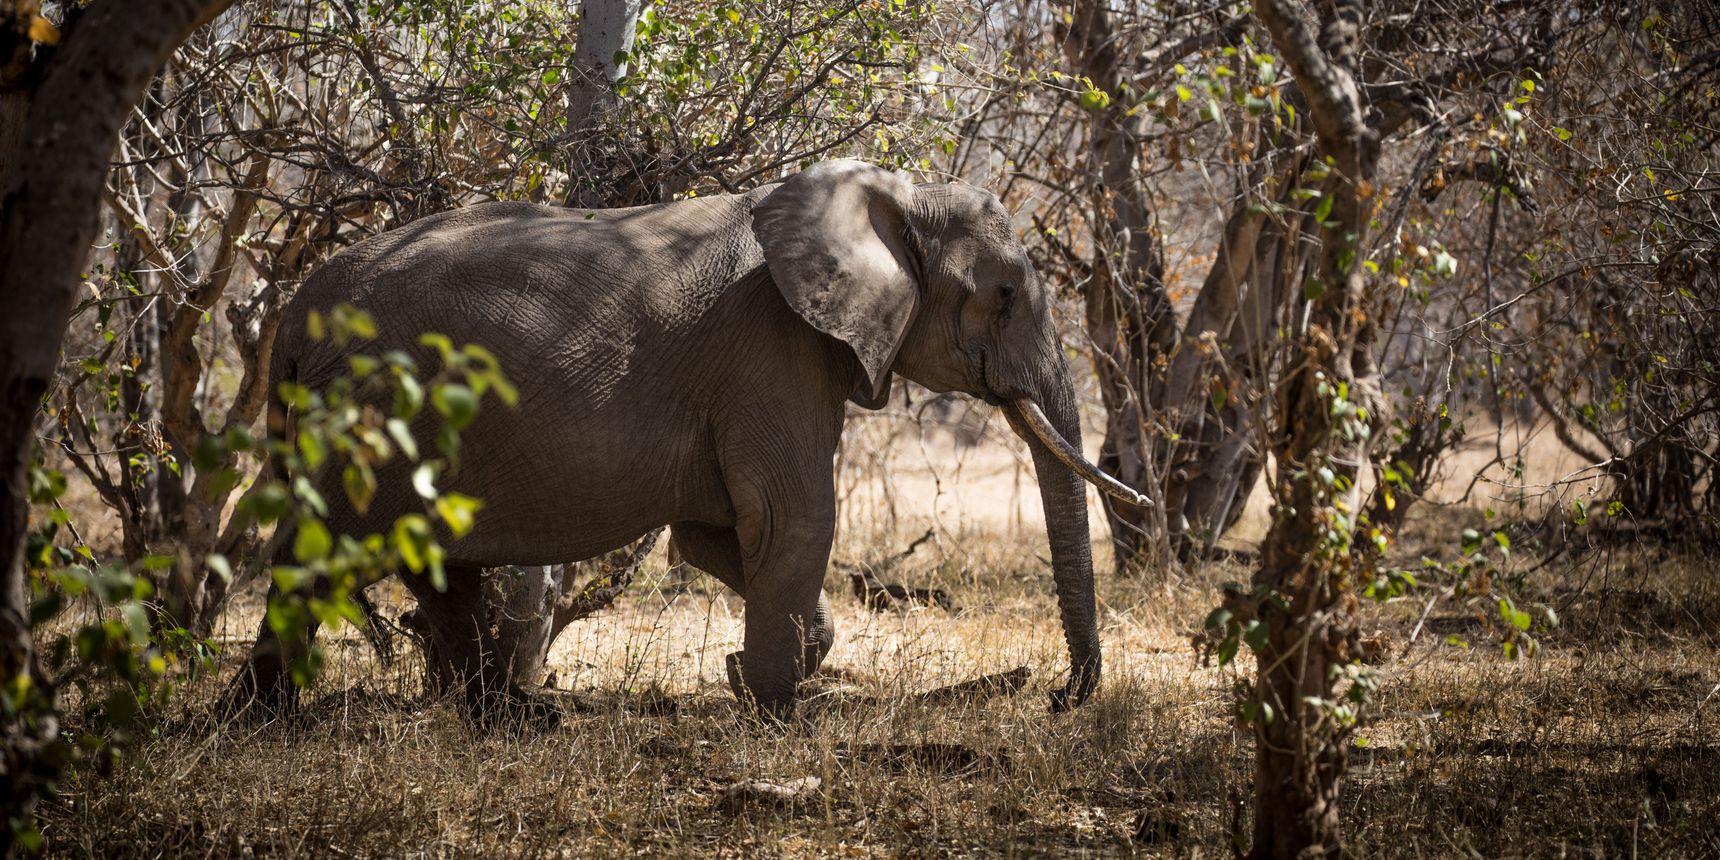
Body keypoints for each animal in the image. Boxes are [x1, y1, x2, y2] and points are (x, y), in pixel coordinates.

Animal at [222, 159, 1146, 723]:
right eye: (1003, 295)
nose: (1058, 698)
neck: (886, 193)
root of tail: (293, 320)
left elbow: (716, 536)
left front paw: (763, 674)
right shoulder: (771, 349)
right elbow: (791, 519)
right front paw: (776, 712)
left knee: (435, 566)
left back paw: (513, 721)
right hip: (364, 413)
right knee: (321, 556)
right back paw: (262, 723)